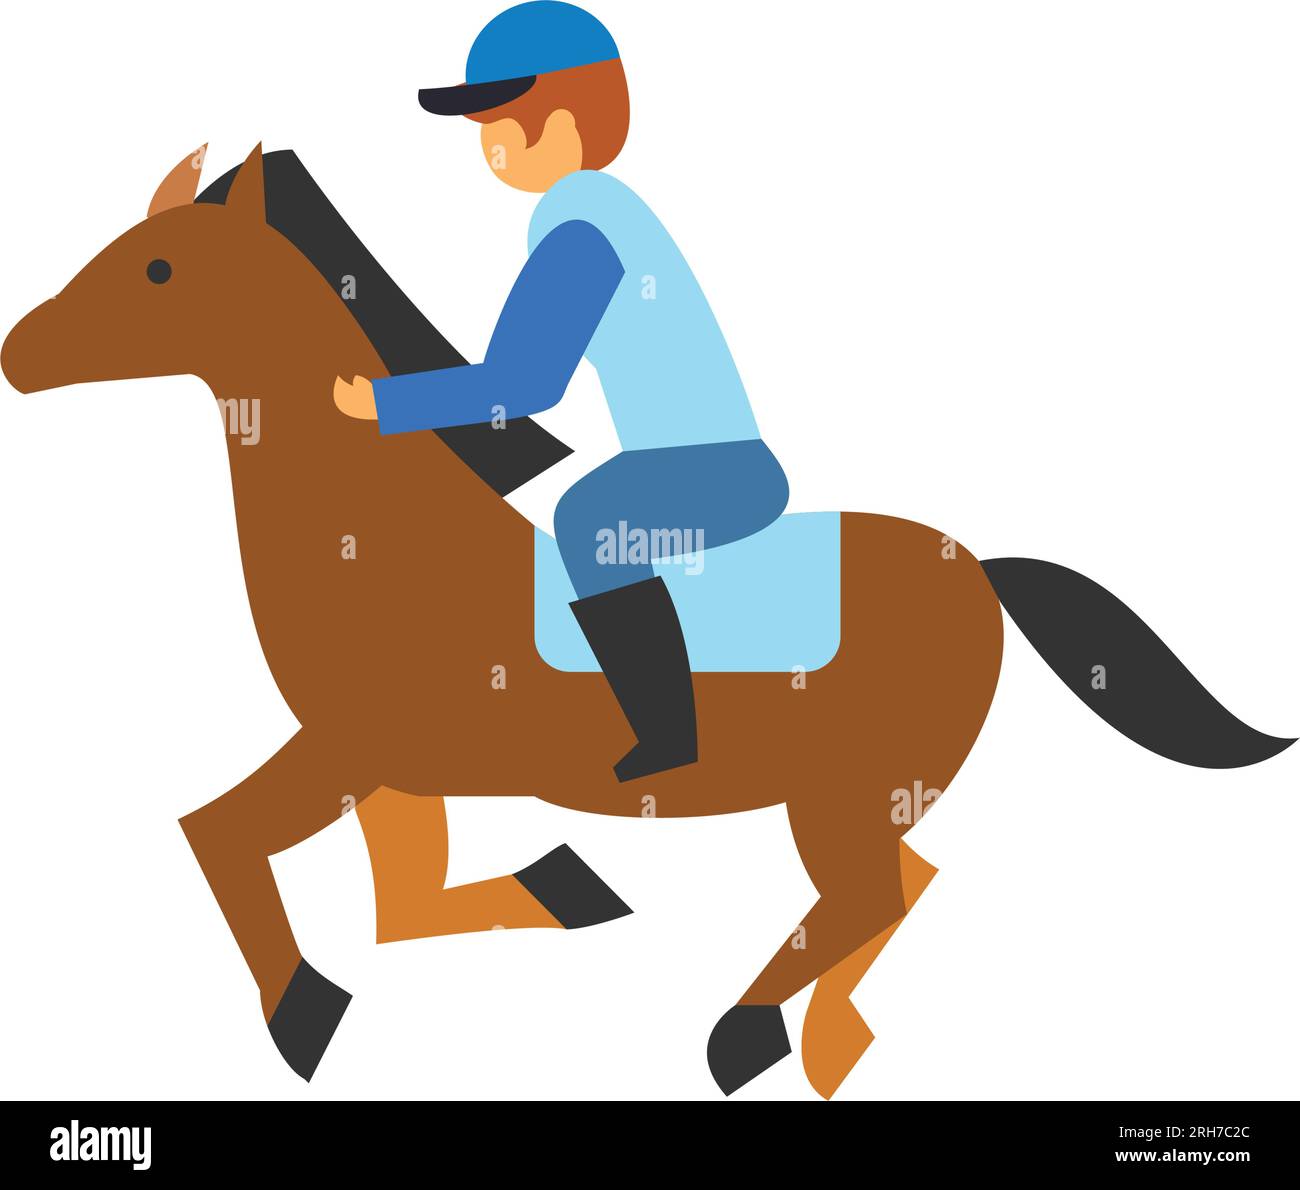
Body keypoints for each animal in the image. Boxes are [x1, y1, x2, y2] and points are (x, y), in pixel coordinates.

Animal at [3, 143, 1292, 1098]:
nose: (16, 353)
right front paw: (563, 887)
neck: (375, 540)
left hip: (841, 792)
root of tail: (977, 565)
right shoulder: (393, 766)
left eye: (158, 269)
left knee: (874, 892)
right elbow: (402, 903)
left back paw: (747, 1030)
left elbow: (218, 835)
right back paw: (829, 1038)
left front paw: (300, 1011)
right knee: (904, 880)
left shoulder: (350, 748)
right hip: (873, 793)